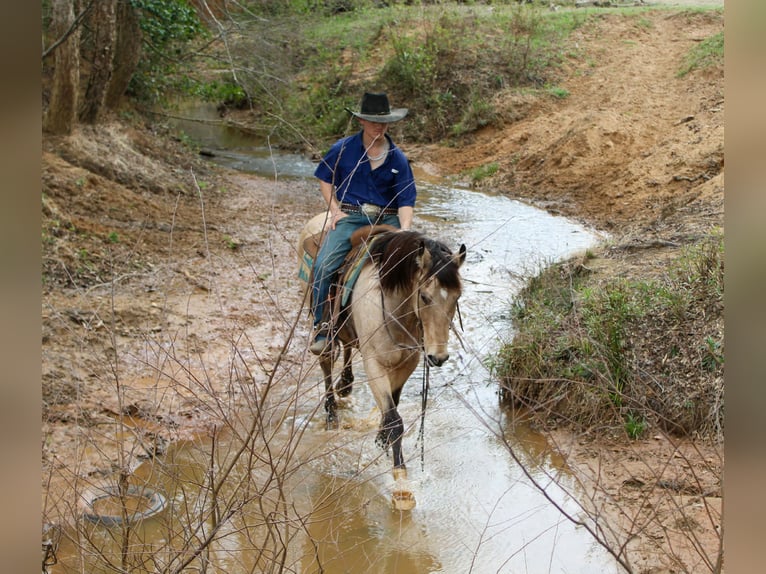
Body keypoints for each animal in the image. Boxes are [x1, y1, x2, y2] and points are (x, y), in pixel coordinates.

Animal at [298, 214, 466, 509]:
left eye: (457, 297)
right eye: (425, 297)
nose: (438, 357)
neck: (395, 307)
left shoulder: (407, 362)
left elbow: (392, 408)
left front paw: (380, 441)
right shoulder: (375, 365)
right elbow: (394, 420)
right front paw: (401, 486)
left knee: (347, 349)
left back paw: (346, 385)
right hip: (322, 323)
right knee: (326, 360)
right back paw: (331, 413)